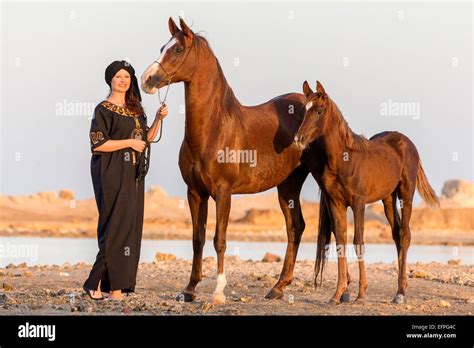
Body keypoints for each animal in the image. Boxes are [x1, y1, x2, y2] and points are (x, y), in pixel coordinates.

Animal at [141, 17, 318, 304]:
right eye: (161, 48)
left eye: (177, 49)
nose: (147, 79)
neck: (214, 128)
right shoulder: (195, 193)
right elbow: (198, 239)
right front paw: (189, 289)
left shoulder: (223, 193)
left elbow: (219, 240)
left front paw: (218, 291)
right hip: (287, 185)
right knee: (296, 227)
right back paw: (278, 287)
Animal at [294, 80, 438, 304]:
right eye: (303, 110)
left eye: (319, 111)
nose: (298, 138)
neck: (344, 159)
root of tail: (407, 143)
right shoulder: (336, 202)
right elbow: (341, 240)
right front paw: (337, 294)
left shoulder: (358, 203)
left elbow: (358, 241)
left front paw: (361, 294)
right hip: (388, 198)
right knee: (396, 234)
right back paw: (400, 288)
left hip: (406, 193)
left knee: (405, 234)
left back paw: (400, 293)